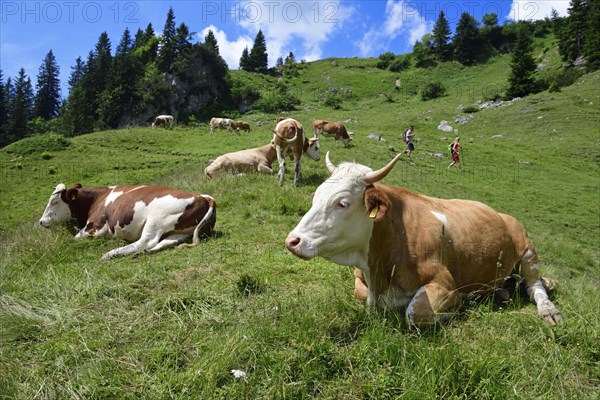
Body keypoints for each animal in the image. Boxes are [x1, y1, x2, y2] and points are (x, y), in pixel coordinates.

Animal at [38, 184, 216, 260]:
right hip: (180, 231)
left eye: (54, 202)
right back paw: (142, 254)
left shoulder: (96, 227)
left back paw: (111, 253)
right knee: (166, 242)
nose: (41, 221)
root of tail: (203, 197)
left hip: (156, 219)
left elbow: (74, 238)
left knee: (146, 241)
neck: (97, 197)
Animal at [286, 153, 564, 328]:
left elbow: (415, 313)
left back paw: (548, 310)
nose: (292, 240)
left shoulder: (444, 283)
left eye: (342, 203)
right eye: (316, 196)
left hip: (528, 249)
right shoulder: (362, 280)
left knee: (535, 286)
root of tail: (504, 215)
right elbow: (360, 293)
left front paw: (456, 310)